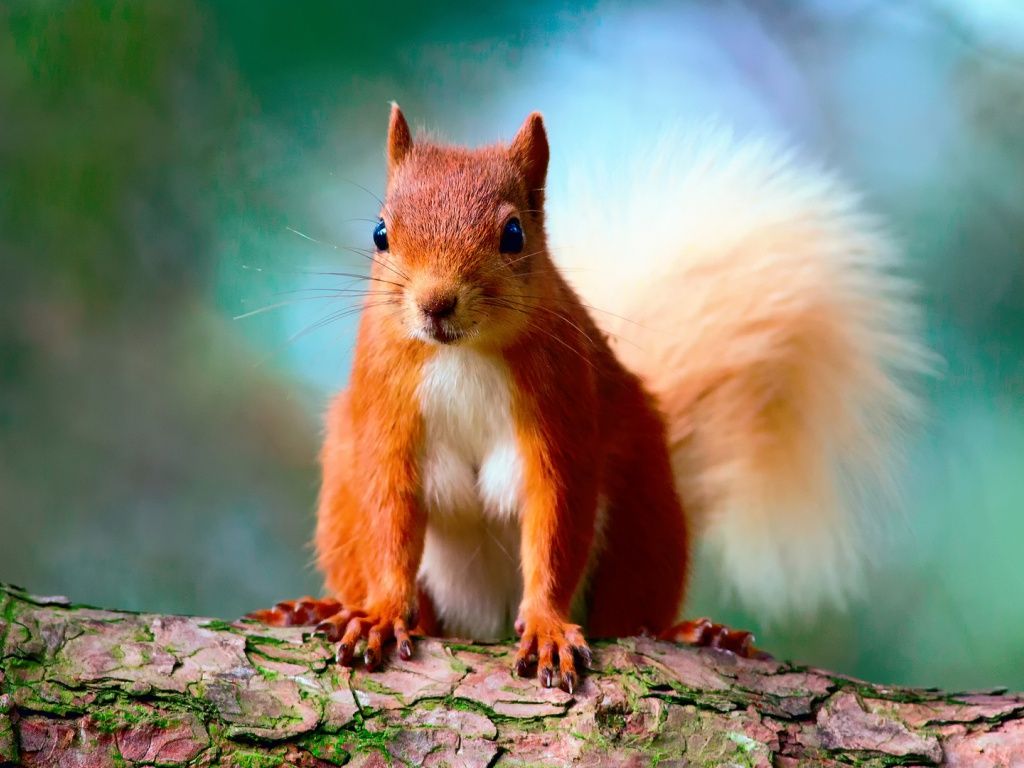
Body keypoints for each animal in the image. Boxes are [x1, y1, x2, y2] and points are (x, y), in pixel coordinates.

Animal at [250, 105, 926, 693]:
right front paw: (384, 613)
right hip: (342, 481)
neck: (461, 353)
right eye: (380, 232)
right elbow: (390, 515)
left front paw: (548, 626)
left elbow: (556, 520)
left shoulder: (563, 412)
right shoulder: (386, 410)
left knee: (627, 615)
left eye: (514, 233)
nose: (435, 303)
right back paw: (318, 607)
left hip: (645, 511)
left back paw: (695, 634)